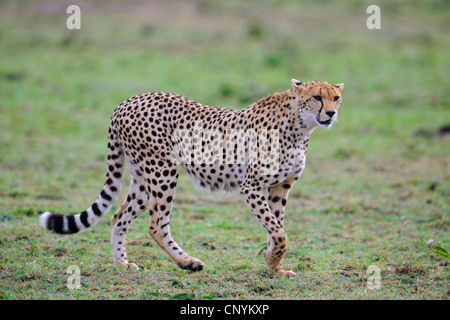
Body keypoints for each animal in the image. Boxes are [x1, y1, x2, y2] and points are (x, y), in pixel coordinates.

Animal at [41, 79, 344, 276]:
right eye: (317, 97)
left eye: (336, 98)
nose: (331, 113)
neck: (299, 125)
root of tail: (128, 100)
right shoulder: (251, 185)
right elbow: (279, 231)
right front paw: (274, 262)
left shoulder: (281, 186)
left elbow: (276, 228)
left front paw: (274, 266)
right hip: (163, 170)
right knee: (156, 224)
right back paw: (187, 262)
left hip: (143, 179)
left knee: (118, 217)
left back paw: (123, 265)